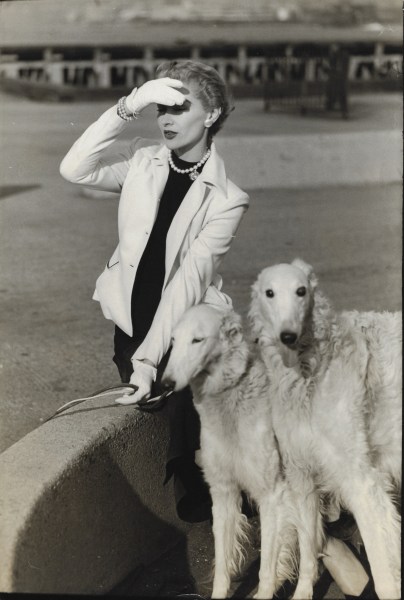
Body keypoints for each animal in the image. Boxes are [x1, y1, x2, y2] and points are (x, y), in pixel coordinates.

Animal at [161, 308, 296, 596]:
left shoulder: (272, 495)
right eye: (173, 341)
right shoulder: (223, 491)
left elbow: (267, 569)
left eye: (198, 339)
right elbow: (223, 565)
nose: (166, 384)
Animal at [249, 258, 400, 600]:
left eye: (301, 291)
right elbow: (308, 554)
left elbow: (384, 571)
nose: (288, 336)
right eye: (269, 293)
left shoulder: (363, 483)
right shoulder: (301, 476)